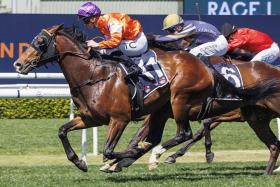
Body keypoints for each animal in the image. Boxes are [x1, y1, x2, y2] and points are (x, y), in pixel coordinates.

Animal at [14, 24, 280, 174]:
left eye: (40, 42)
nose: (18, 63)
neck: (94, 76)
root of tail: (203, 65)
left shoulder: (120, 118)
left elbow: (111, 149)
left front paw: (119, 159)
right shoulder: (91, 118)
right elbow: (62, 130)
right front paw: (80, 162)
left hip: (179, 99)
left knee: (182, 132)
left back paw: (156, 155)